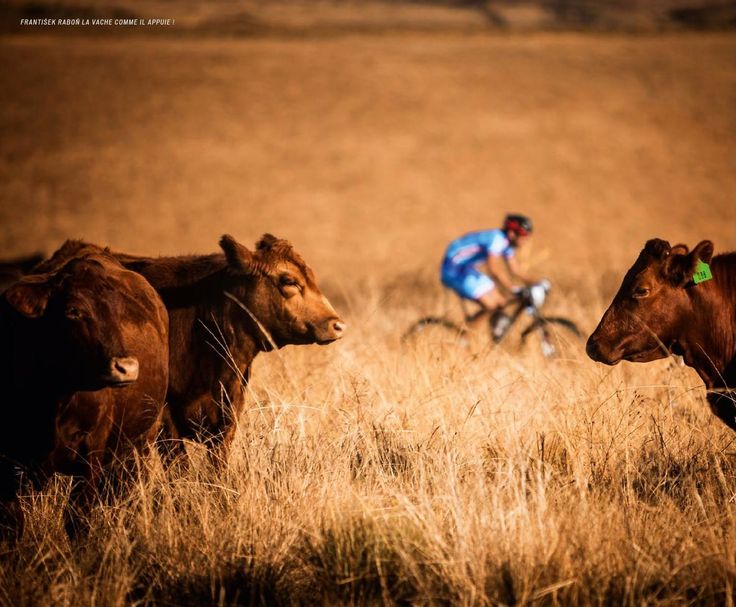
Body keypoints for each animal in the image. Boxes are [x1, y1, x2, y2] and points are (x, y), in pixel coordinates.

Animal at [0, 244, 169, 533]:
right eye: (73, 311)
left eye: (118, 312)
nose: (126, 367)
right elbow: (14, 522)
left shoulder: (90, 456)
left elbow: (77, 519)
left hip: (142, 440)